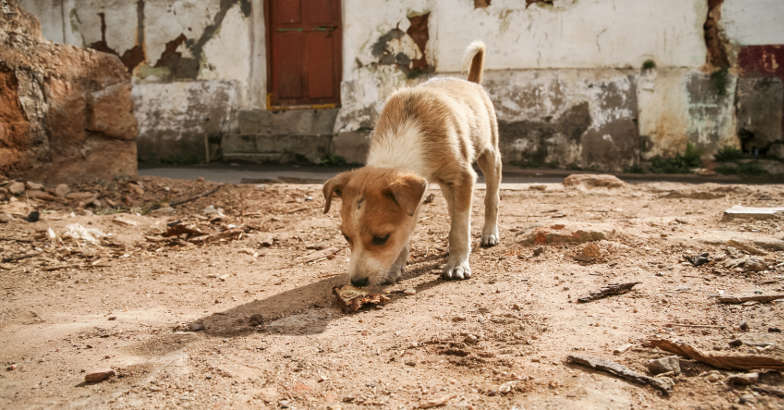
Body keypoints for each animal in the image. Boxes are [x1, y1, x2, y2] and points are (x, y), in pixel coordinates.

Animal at [324, 40, 502, 286]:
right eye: (346, 236)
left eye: (382, 238)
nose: (357, 283)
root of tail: (471, 82)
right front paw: (395, 267)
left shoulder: (464, 177)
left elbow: (461, 228)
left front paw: (457, 264)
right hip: (448, 184)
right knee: (453, 207)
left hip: (489, 154)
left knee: (490, 197)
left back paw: (489, 233)